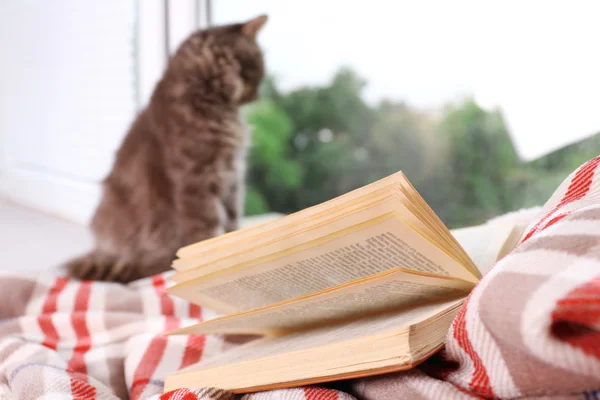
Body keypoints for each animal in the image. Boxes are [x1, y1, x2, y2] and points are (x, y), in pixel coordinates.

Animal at [63, 14, 268, 282]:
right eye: (255, 76)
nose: (257, 96)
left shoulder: (233, 176)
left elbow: (232, 221)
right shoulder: (197, 180)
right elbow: (206, 230)